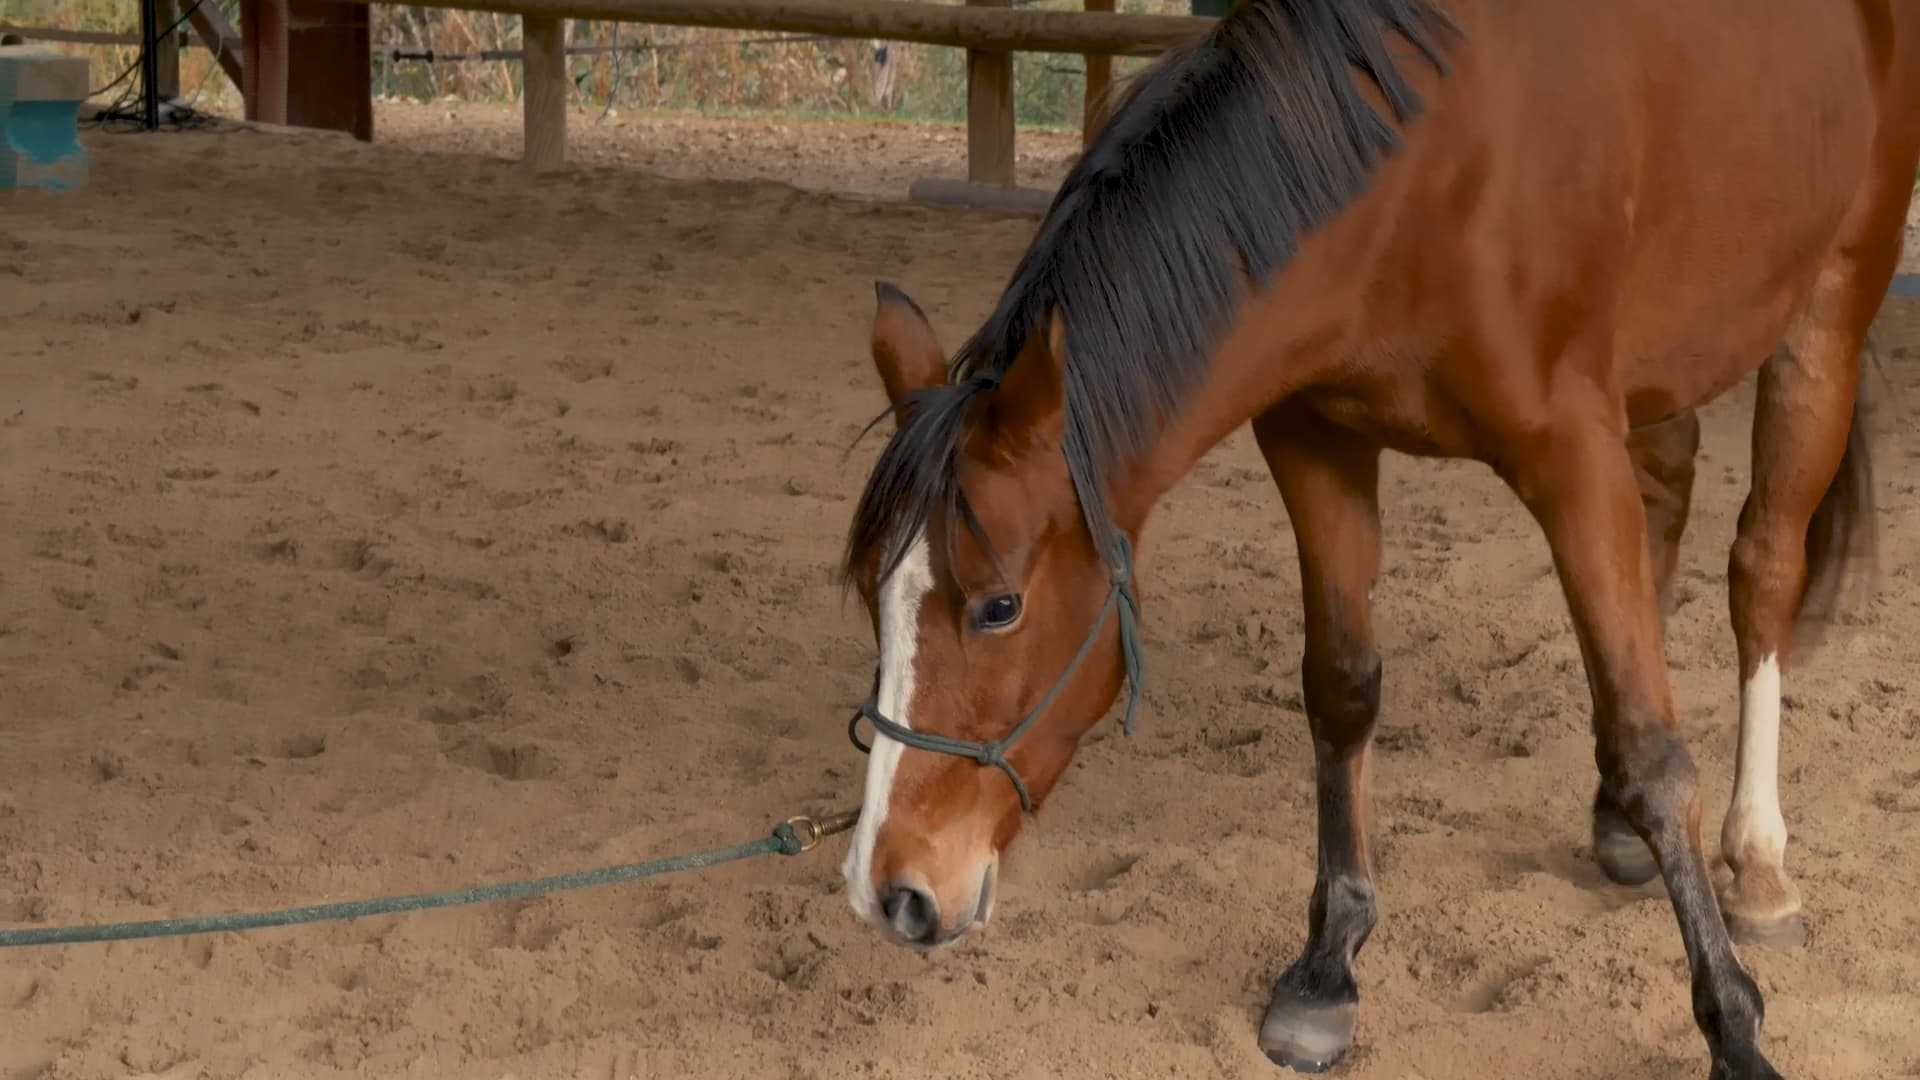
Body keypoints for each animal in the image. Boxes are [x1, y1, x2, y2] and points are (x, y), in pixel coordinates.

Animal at [836, 1, 1920, 1075]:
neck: (1424, 163)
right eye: (872, 598)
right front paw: (1328, 966)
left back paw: (1761, 863)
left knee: (1762, 570)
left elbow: (1652, 744)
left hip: (1826, 312)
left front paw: (1734, 1022)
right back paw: (1615, 824)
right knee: (1670, 499)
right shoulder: (1317, 437)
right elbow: (1344, 689)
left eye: (998, 606)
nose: (888, 890)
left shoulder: (1572, 453)